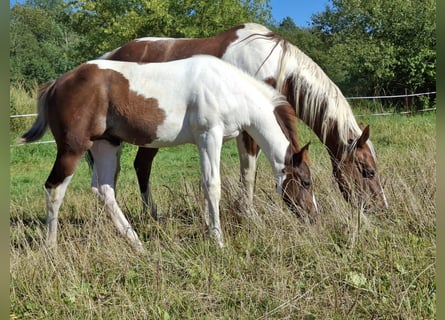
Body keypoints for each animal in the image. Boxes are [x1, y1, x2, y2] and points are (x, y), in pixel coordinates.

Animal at [20, 55, 318, 250]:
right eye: (305, 182)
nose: (313, 217)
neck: (227, 87)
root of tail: (57, 83)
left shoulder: (206, 142)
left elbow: (204, 185)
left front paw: (209, 230)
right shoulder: (210, 136)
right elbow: (213, 186)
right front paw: (219, 241)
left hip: (106, 145)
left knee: (104, 190)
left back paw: (137, 244)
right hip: (73, 148)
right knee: (54, 189)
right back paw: (51, 247)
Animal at [96, 21, 386, 214]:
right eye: (368, 171)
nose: (381, 208)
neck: (271, 65)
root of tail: (110, 55)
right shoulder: (249, 129)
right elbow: (249, 172)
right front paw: (246, 214)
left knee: (138, 166)